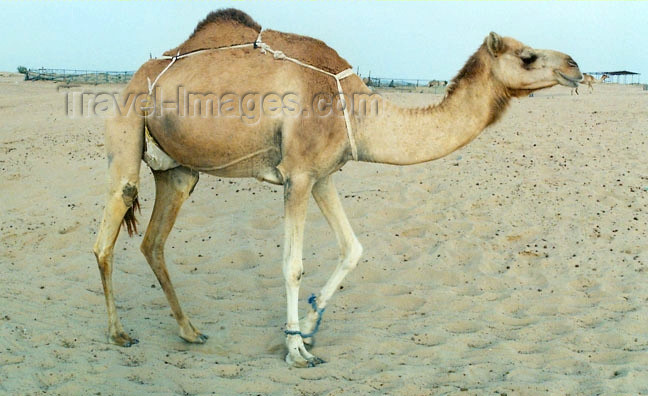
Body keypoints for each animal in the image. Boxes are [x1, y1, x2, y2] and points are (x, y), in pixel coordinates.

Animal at [91, 8, 584, 368]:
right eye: (528, 56)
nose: (576, 66)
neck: (358, 110)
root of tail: (136, 76)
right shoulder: (298, 176)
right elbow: (292, 265)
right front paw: (295, 350)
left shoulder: (324, 175)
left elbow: (354, 248)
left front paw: (310, 328)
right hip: (127, 131)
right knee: (108, 231)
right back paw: (118, 334)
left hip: (179, 171)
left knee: (153, 242)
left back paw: (190, 330)